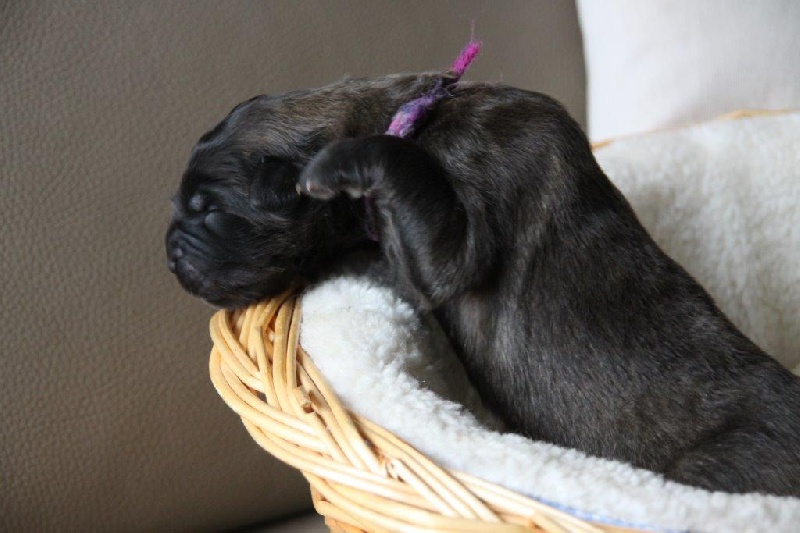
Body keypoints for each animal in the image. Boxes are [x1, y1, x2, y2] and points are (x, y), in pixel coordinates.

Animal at [166, 73, 800, 496]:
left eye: (208, 209)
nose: (170, 253)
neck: (418, 116)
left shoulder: (458, 244)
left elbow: (399, 172)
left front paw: (338, 161)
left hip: (717, 466)